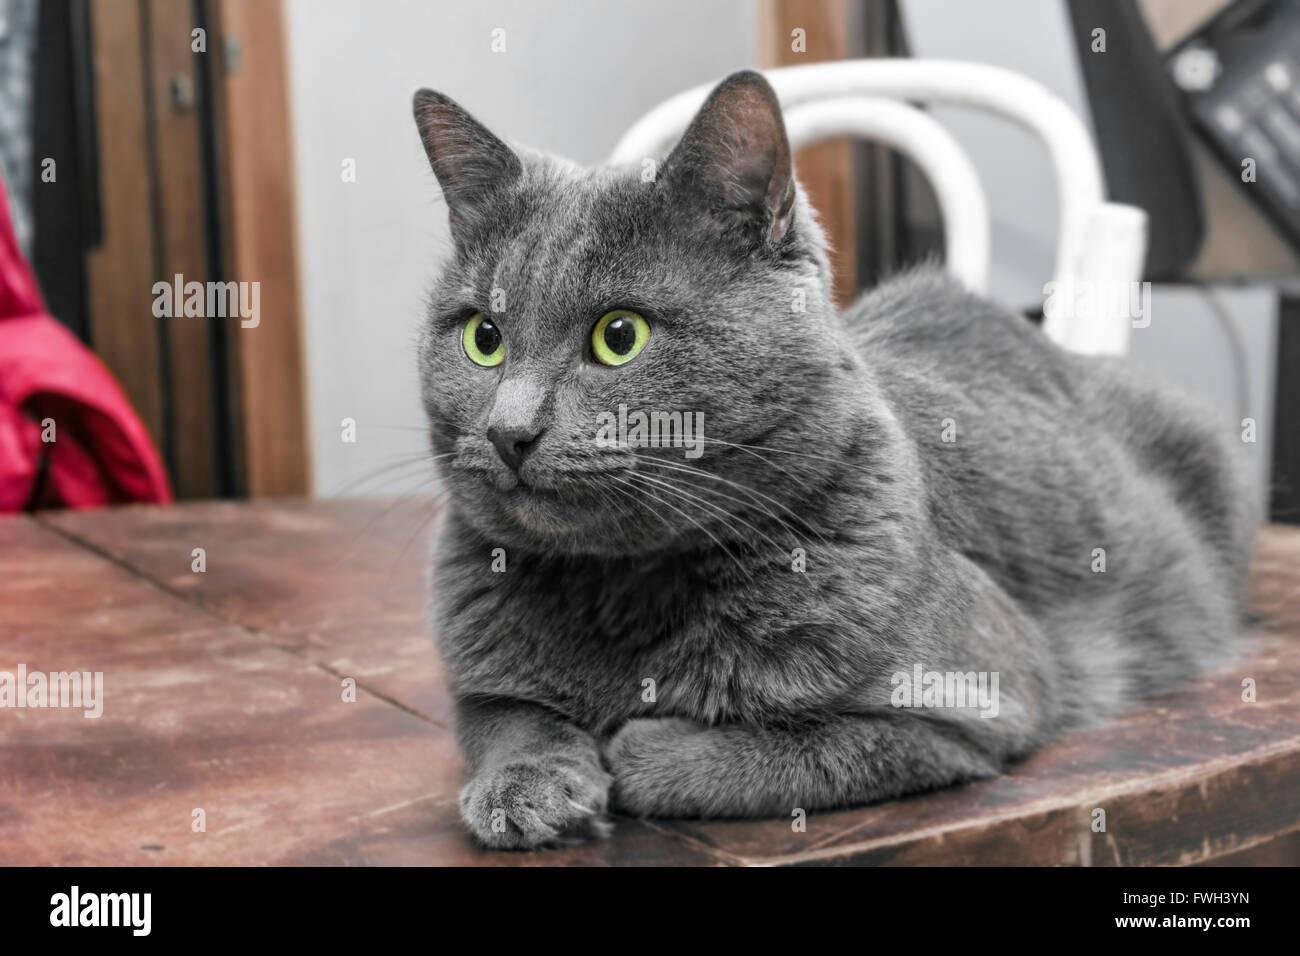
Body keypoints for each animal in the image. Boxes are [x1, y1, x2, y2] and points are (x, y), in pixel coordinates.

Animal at [410, 74, 1253, 853]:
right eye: (483, 336)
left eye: (620, 335)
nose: (509, 432)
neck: (620, 589)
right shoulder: (479, 677)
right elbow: (502, 717)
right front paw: (528, 785)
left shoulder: (977, 705)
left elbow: (782, 750)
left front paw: (634, 744)